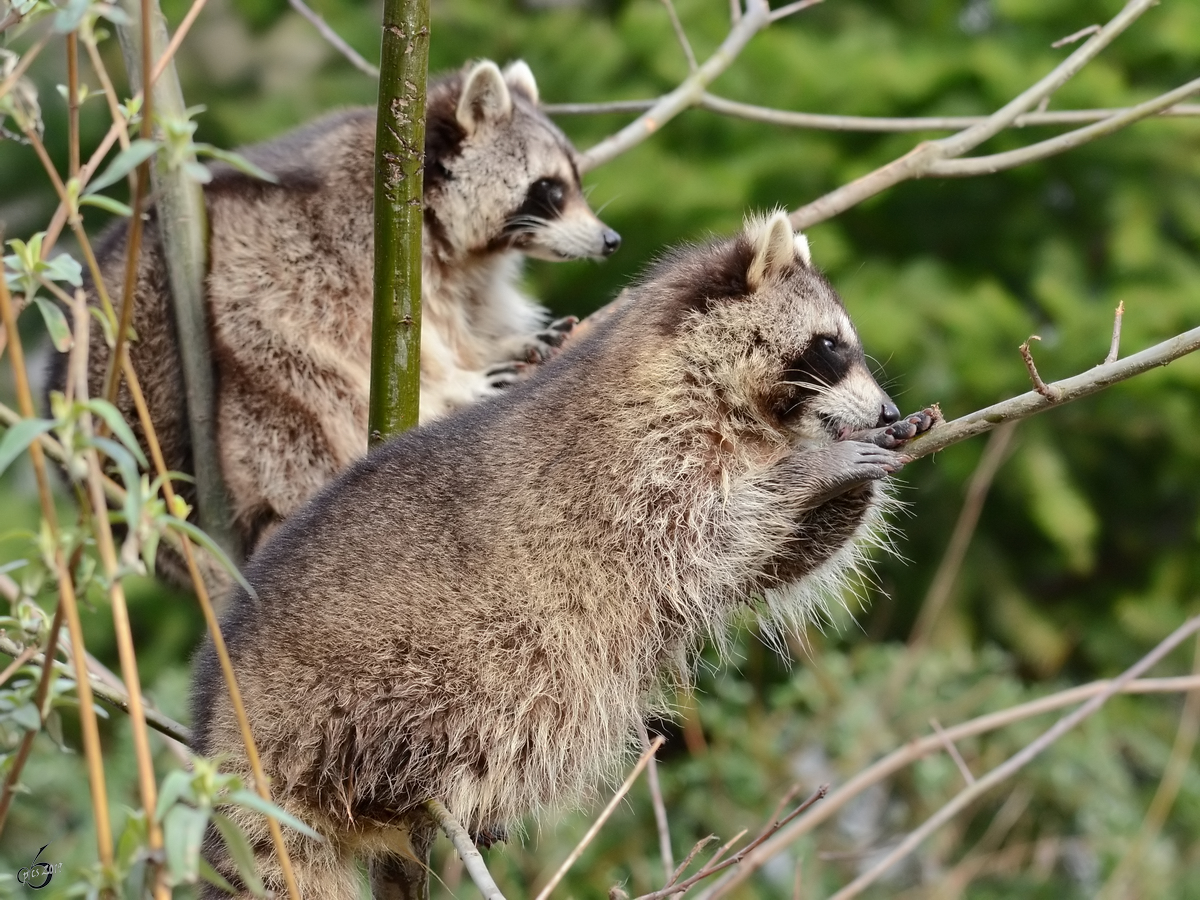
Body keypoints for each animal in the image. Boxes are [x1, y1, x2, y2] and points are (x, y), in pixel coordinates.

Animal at [46, 60, 619, 573]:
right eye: (551, 189)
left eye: (573, 180)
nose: (611, 240)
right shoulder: (327, 239)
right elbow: (344, 339)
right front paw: (451, 382)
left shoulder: (461, 272)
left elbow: (465, 317)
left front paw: (497, 343)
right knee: (287, 388)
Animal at [189, 213, 936, 900]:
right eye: (831, 347)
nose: (885, 407)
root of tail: (227, 723)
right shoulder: (640, 468)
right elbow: (713, 535)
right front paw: (817, 466)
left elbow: (764, 564)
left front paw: (870, 468)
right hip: (391, 672)